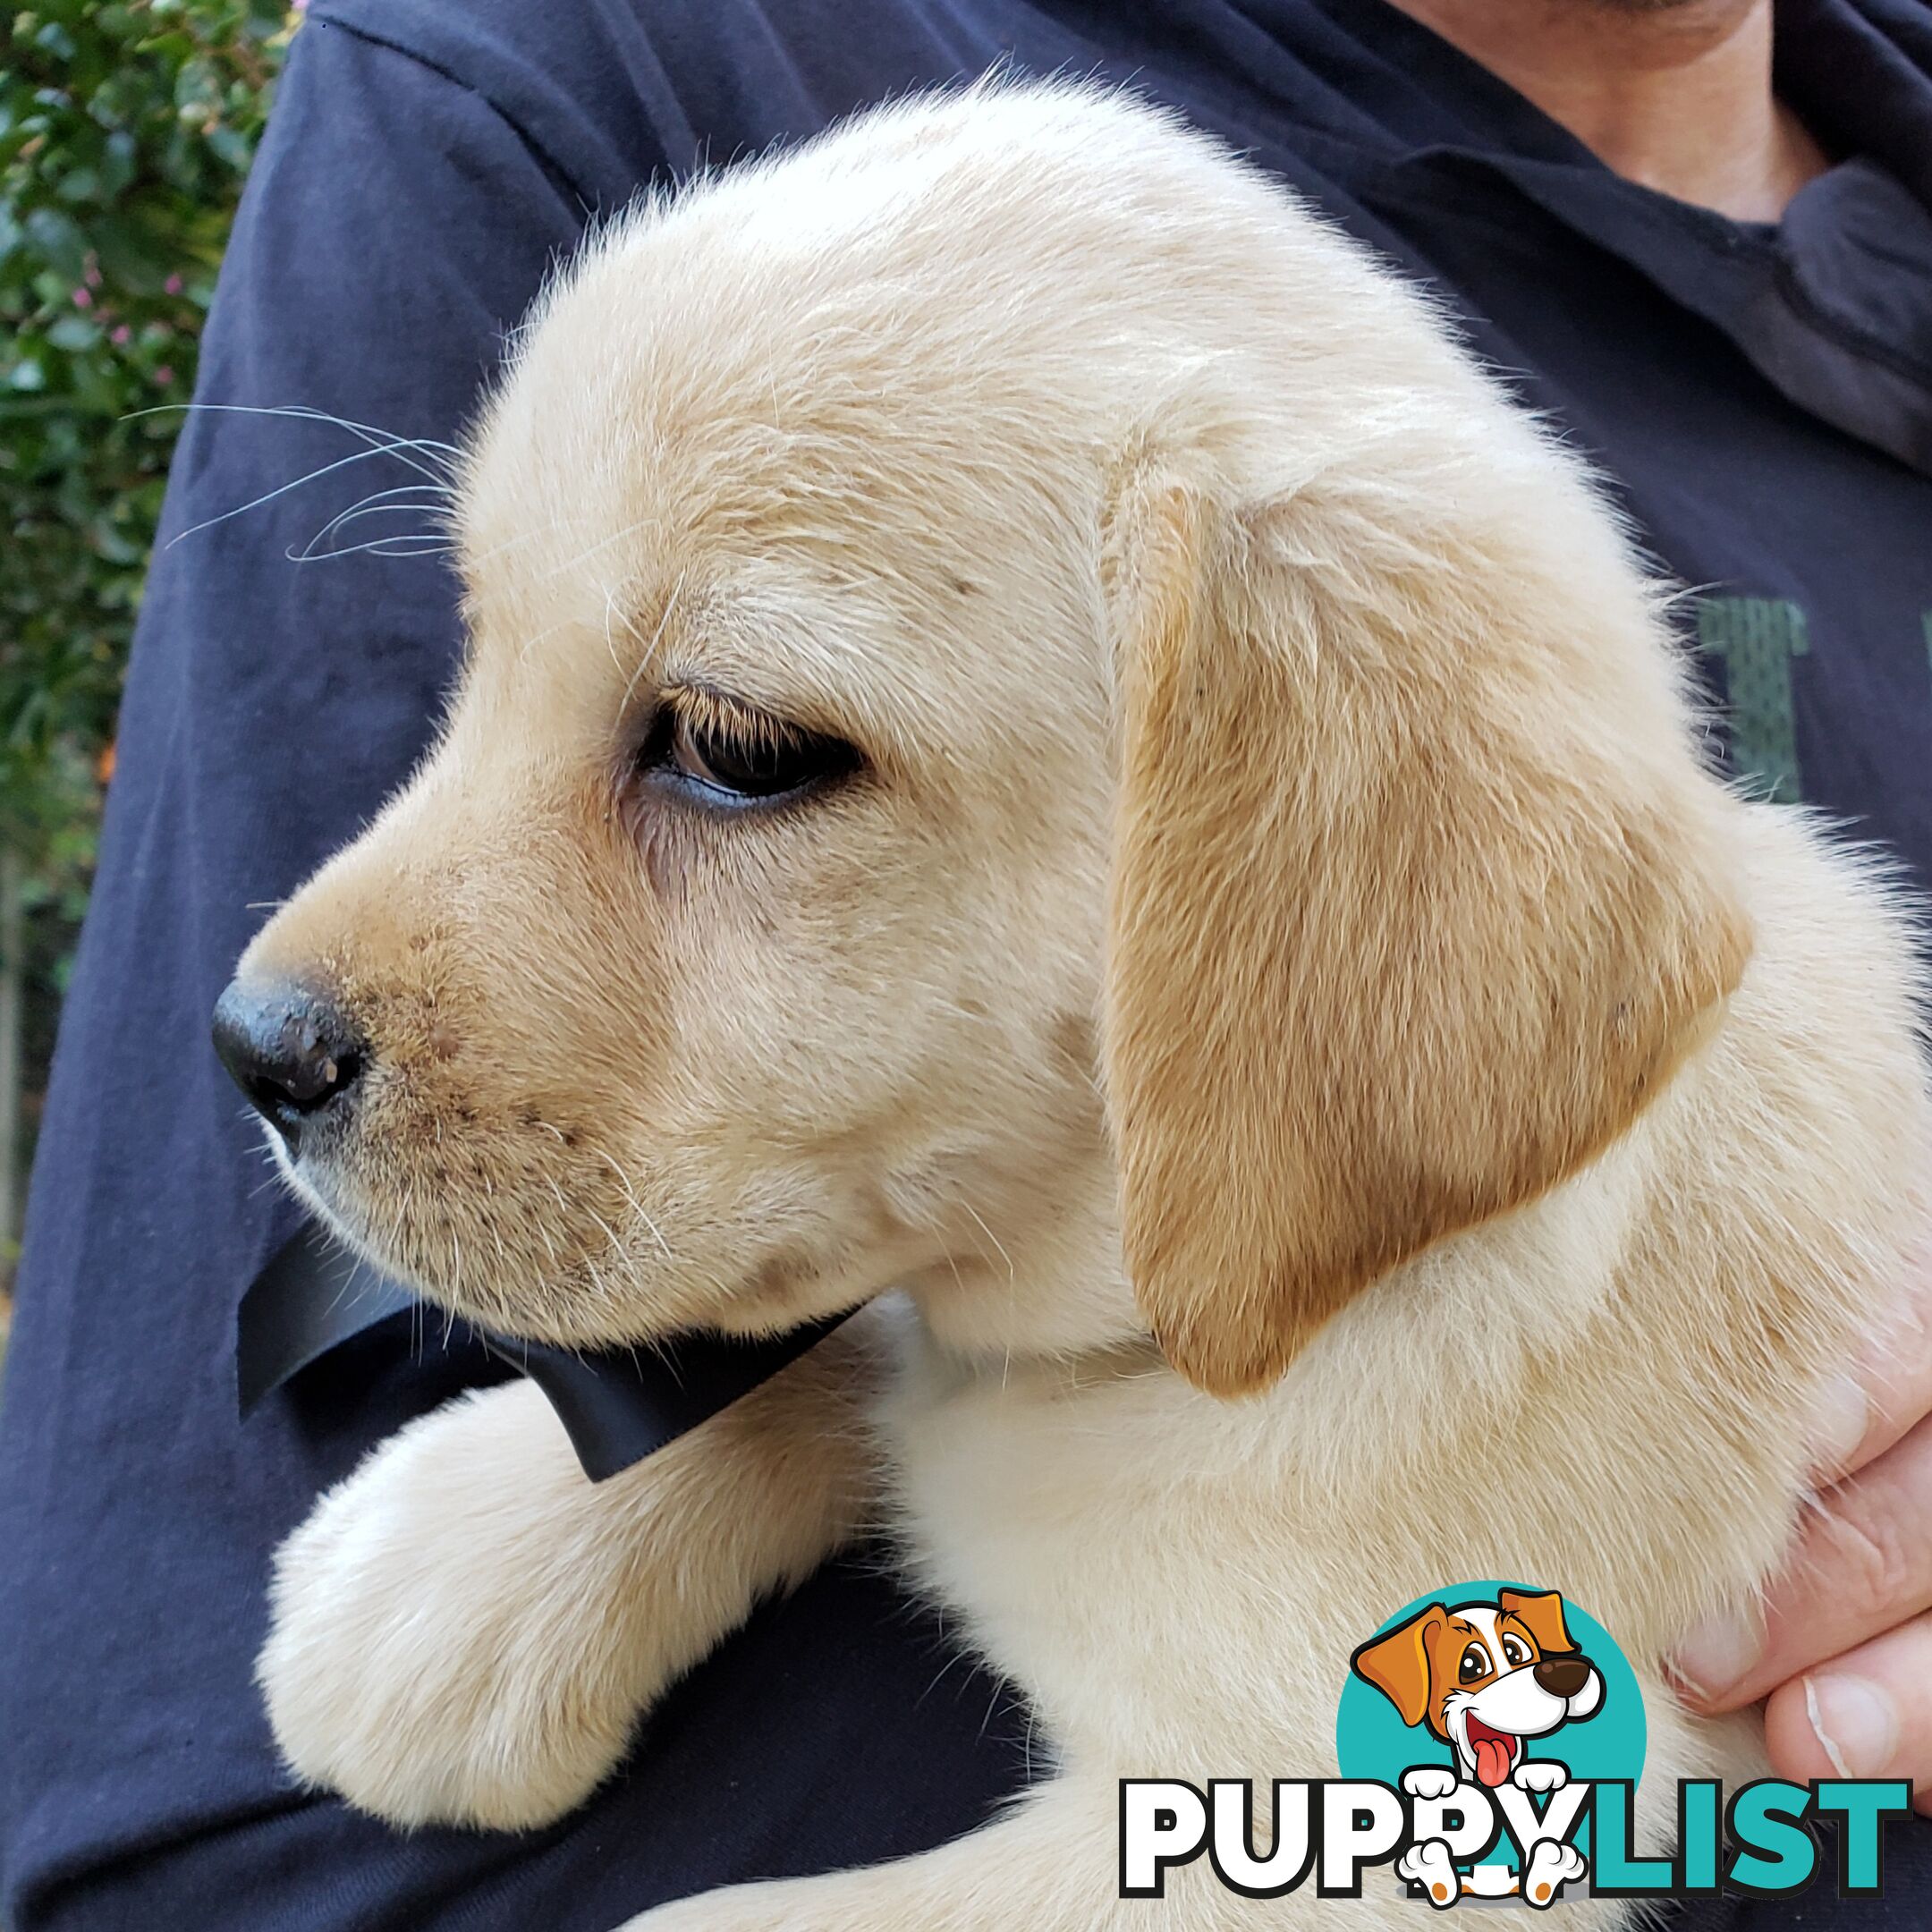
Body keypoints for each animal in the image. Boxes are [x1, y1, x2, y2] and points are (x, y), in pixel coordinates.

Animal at [233, 82, 1924, 1924]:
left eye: (738, 749)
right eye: (482, 653)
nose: (252, 1050)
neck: (1179, 1356)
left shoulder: (1314, 1842)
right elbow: (836, 1350)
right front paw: (458, 1566)